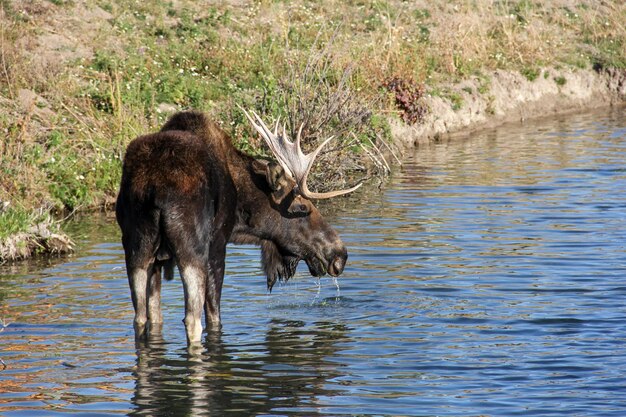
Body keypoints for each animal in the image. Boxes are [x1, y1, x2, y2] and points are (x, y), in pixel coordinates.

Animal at [114, 109, 358, 342]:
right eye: (302, 207)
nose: (340, 255)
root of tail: (154, 188)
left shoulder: (157, 262)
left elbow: (155, 318)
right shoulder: (217, 244)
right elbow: (214, 318)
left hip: (137, 251)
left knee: (139, 318)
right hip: (192, 251)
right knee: (192, 320)